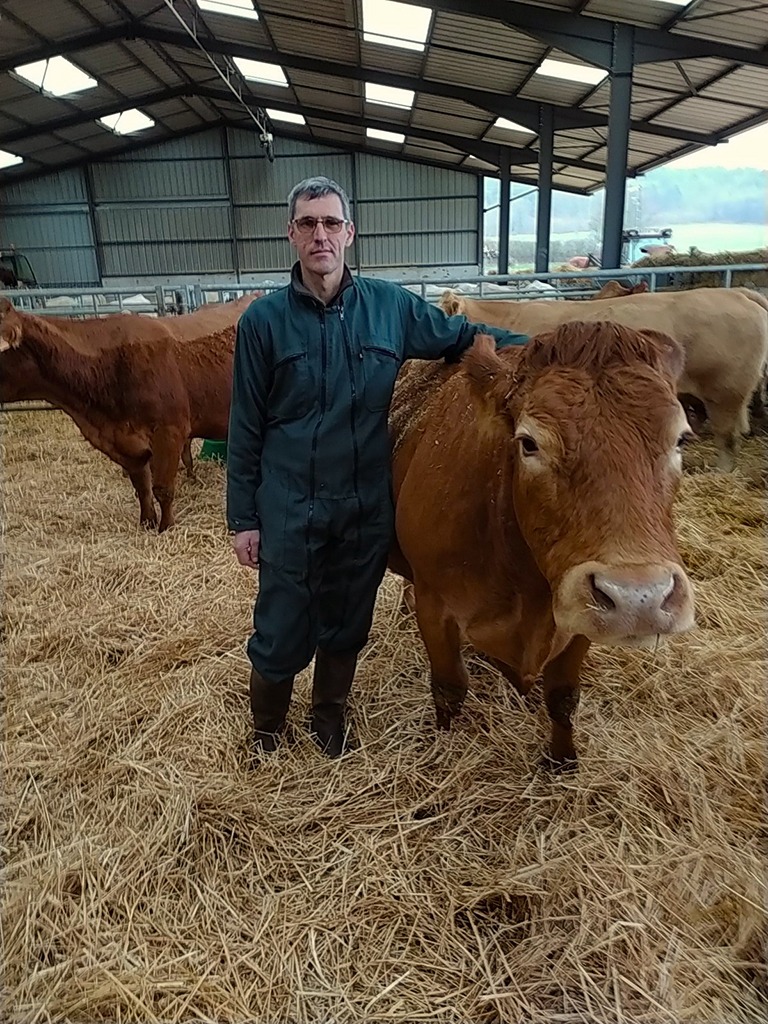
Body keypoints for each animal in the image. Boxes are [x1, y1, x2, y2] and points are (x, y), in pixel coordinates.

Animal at [0, 296, 234, 532]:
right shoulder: (124, 444)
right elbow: (142, 488)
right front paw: (146, 522)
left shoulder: (170, 432)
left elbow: (162, 489)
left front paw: (166, 527)